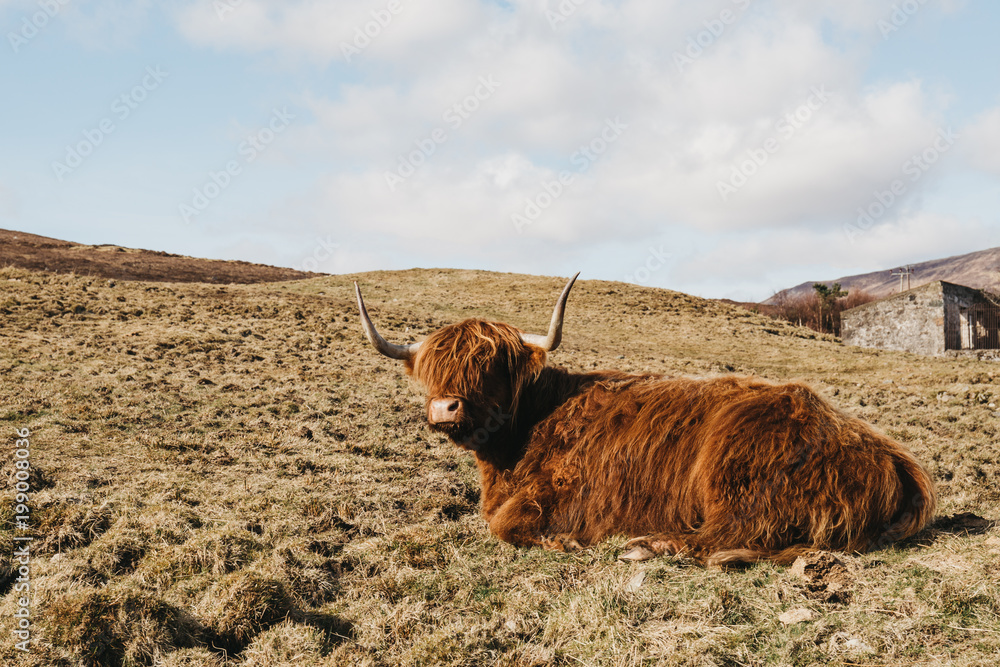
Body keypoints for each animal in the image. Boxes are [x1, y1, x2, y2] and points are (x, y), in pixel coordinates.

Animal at [356, 274, 932, 568]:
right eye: (433, 372)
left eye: (491, 367)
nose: (444, 408)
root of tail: (887, 450)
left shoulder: (568, 494)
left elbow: (504, 524)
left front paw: (565, 542)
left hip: (735, 476)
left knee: (728, 536)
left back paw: (649, 546)